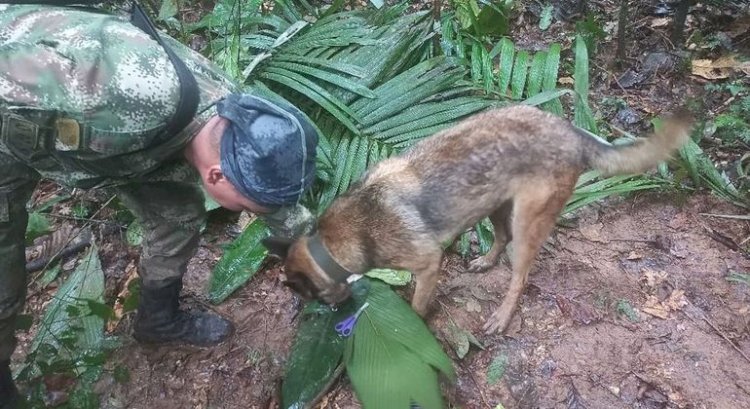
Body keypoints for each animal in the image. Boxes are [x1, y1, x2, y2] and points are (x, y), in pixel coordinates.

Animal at [266, 103, 692, 334]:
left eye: (310, 296)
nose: (333, 313)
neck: (331, 243)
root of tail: (571, 131)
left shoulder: (428, 263)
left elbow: (417, 305)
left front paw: (415, 323)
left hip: (526, 222)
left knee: (519, 275)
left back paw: (502, 315)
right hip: (494, 205)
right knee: (500, 238)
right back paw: (485, 262)